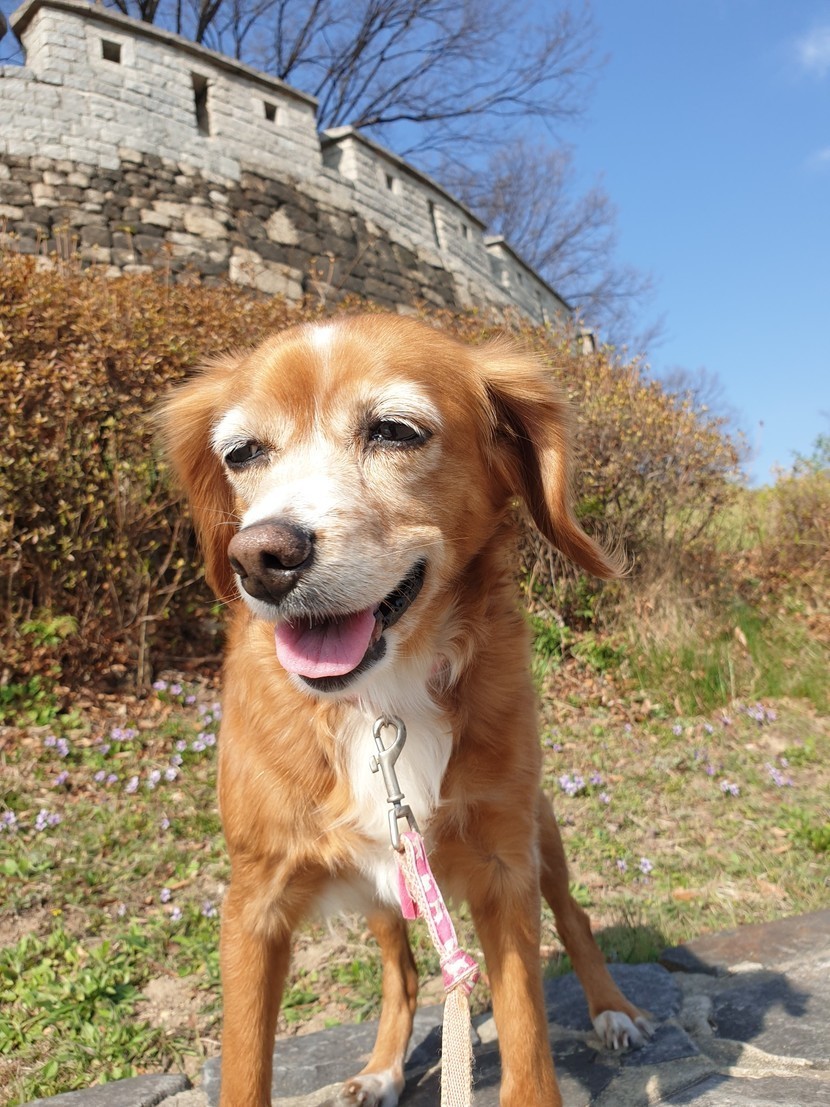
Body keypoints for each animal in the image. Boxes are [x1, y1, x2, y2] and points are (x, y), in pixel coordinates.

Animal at [159, 314, 652, 1107]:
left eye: (393, 431)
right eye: (242, 453)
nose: (259, 557)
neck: (382, 704)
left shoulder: (505, 869)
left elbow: (528, 1044)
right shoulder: (255, 901)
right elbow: (244, 1067)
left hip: (538, 837)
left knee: (574, 917)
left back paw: (613, 1010)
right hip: (381, 885)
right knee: (404, 970)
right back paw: (383, 1067)